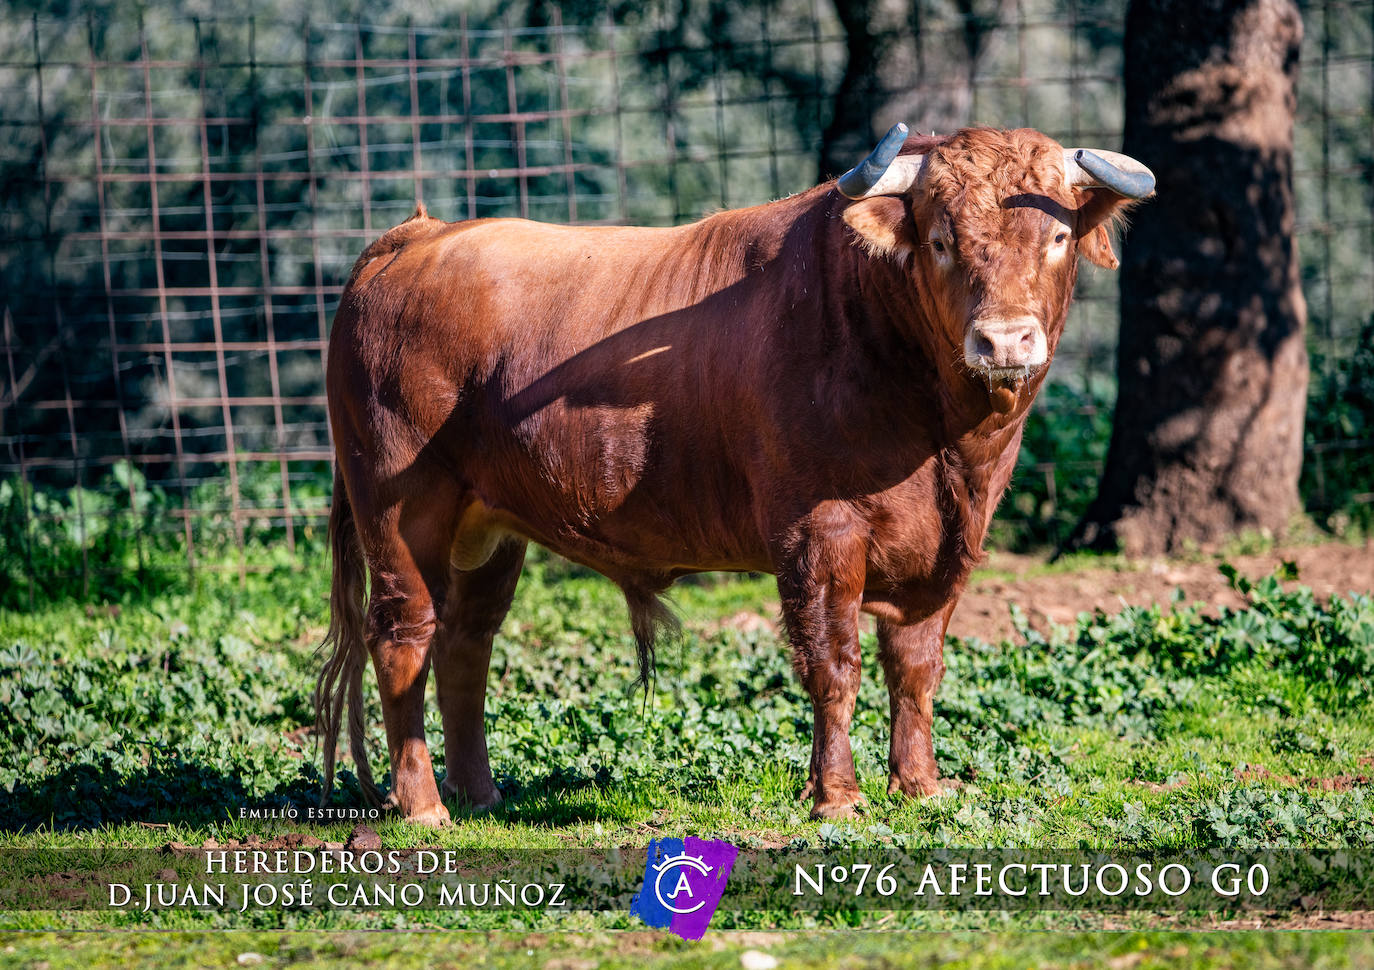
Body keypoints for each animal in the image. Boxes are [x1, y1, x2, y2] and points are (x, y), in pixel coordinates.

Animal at [316, 118, 1154, 813]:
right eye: (942, 239)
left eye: (1057, 240)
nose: (1005, 340)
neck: (945, 438)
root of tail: (415, 238)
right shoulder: (818, 532)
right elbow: (835, 664)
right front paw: (836, 797)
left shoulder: (949, 545)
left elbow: (915, 667)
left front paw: (920, 786)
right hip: (402, 511)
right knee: (403, 638)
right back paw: (422, 804)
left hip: (489, 529)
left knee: (467, 643)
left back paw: (480, 794)